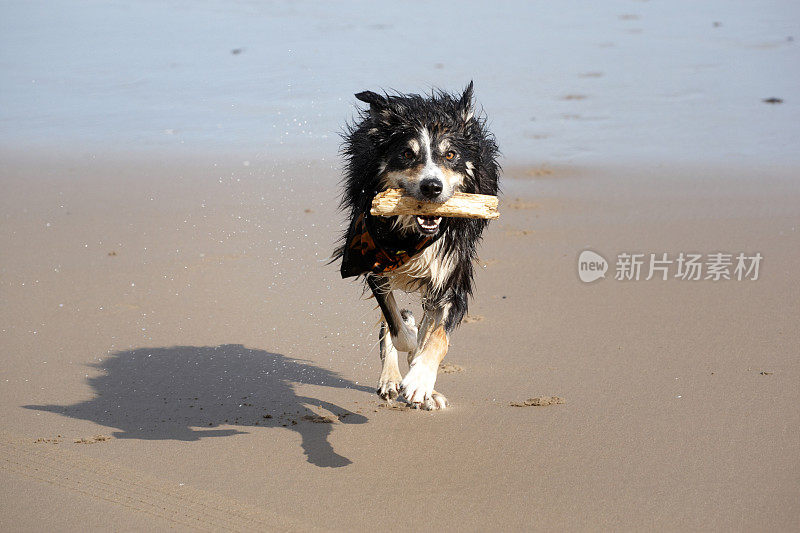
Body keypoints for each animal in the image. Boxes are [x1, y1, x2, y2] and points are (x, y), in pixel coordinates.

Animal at [332, 81, 496, 410]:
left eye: (451, 155)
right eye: (407, 153)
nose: (432, 187)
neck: (412, 234)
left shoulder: (452, 274)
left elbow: (437, 337)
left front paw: (421, 383)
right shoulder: (373, 262)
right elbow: (398, 330)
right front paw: (407, 344)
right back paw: (391, 378)